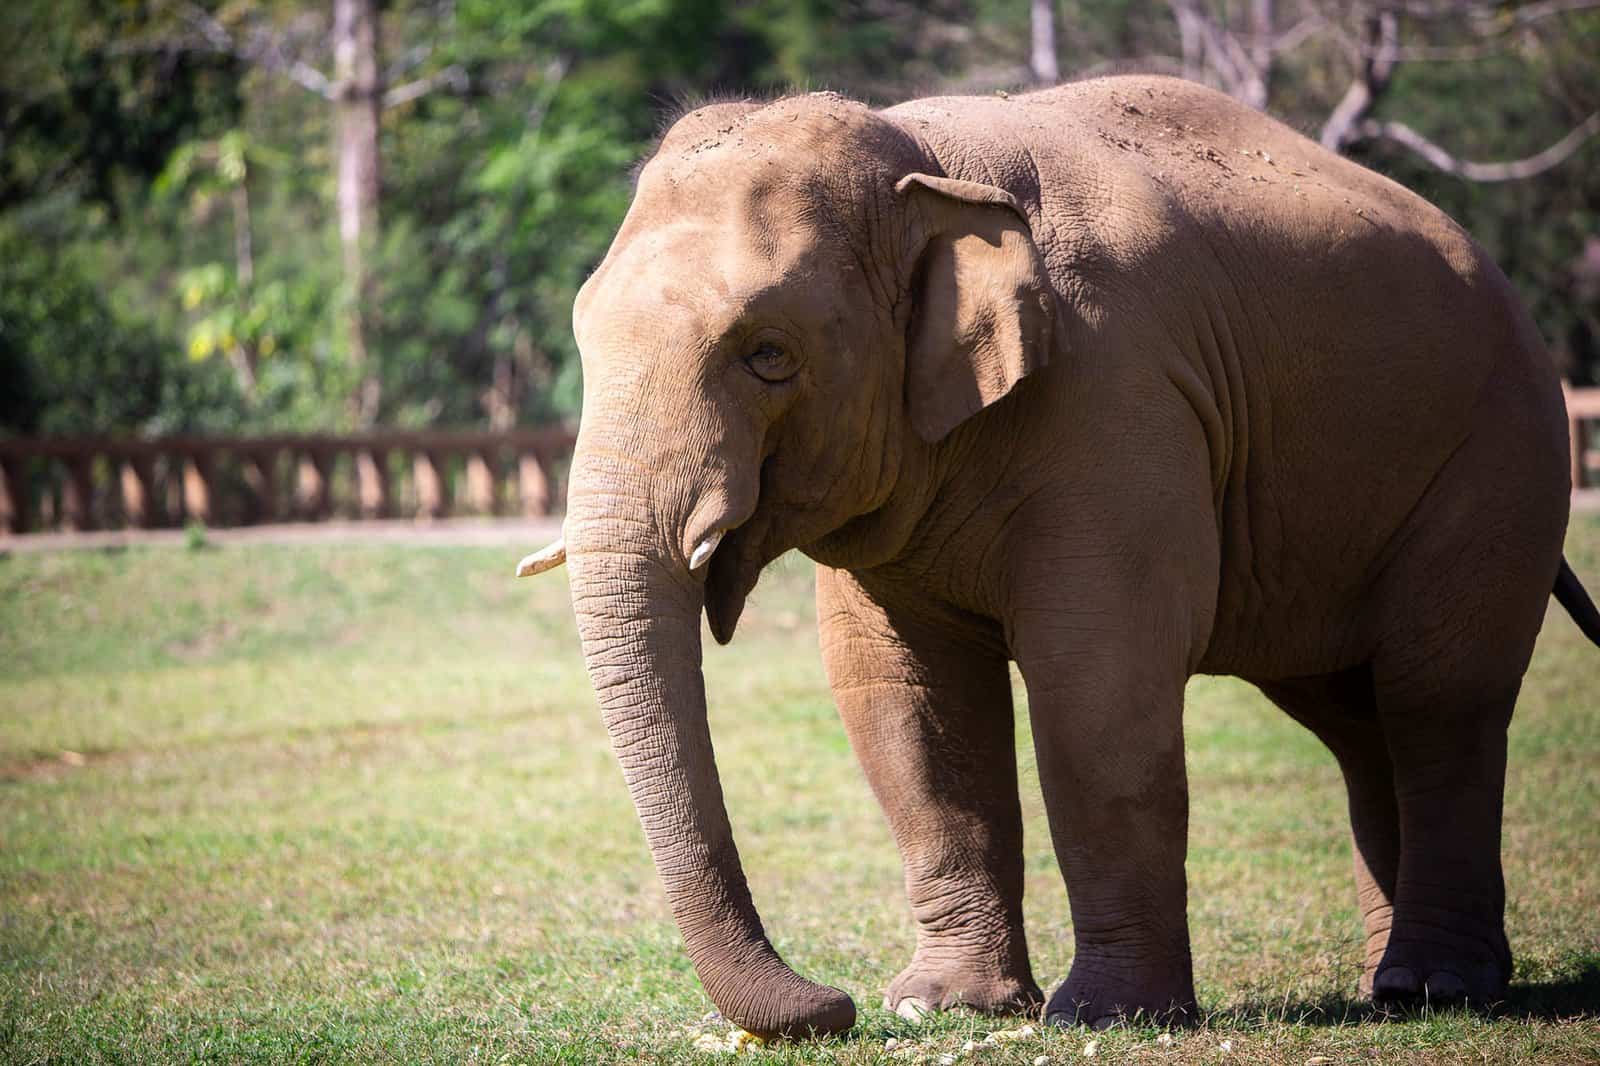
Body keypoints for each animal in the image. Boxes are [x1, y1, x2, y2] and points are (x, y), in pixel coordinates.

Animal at [516, 75, 1600, 1038]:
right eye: (582, 335)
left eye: (768, 354)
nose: (833, 1006)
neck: (923, 159)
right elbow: (903, 702)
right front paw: (942, 1006)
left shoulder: (1121, 398)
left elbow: (1097, 684)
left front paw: (1107, 1016)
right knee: (1352, 716)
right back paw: (1390, 987)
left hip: (1499, 457)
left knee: (1436, 700)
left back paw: (1440, 987)